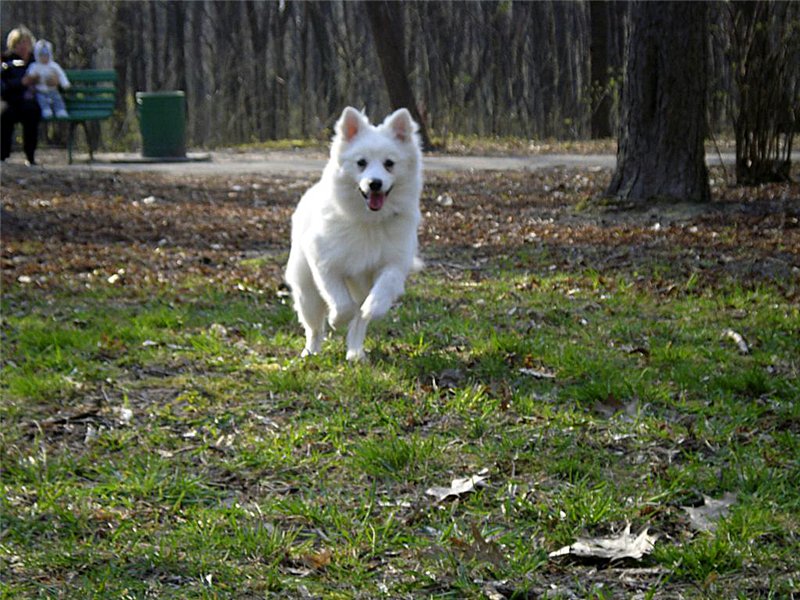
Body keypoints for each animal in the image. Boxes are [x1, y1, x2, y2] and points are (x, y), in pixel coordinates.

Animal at [286, 106, 424, 360]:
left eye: (389, 163)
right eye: (361, 163)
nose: (375, 183)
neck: (369, 221)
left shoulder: (394, 263)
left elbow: (380, 292)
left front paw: (374, 308)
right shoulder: (325, 263)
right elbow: (342, 303)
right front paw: (336, 319)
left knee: (359, 323)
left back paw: (355, 354)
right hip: (306, 292)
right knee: (313, 327)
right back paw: (311, 352)